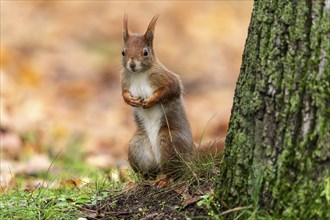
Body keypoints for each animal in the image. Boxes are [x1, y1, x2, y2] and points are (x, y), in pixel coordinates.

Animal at [120, 15, 222, 180]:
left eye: (145, 52)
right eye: (123, 52)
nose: (132, 64)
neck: (138, 75)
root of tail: (192, 156)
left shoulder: (166, 78)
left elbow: (171, 89)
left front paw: (151, 100)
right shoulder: (125, 81)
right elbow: (123, 93)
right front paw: (130, 100)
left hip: (168, 141)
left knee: (174, 172)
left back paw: (165, 180)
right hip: (137, 146)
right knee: (150, 172)